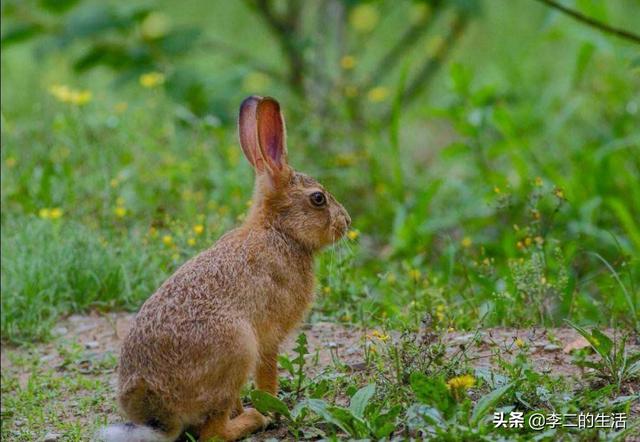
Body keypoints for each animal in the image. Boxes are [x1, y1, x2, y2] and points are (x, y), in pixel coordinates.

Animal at [96, 96, 350, 442]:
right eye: (318, 199)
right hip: (238, 348)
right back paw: (254, 419)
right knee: (213, 432)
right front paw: (271, 408)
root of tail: (160, 413)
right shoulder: (268, 338)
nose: (346, 222)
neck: (280, 230)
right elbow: (267, 374)